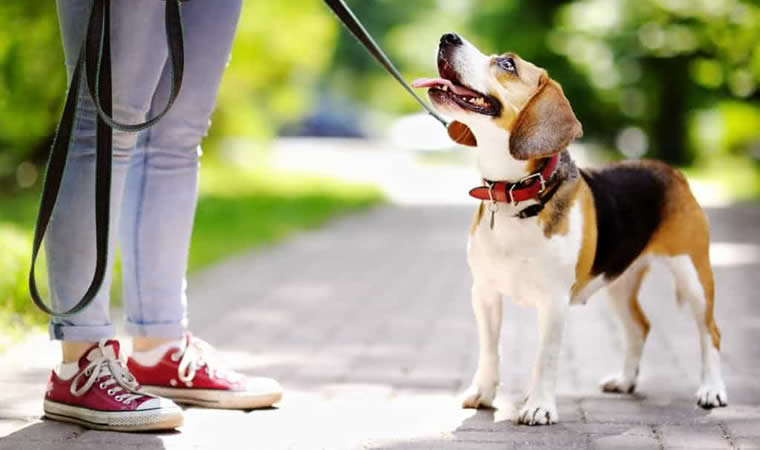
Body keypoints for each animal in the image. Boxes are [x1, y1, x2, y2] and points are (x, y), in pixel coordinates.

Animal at [412, 32, 728, 426]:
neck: (516, 196)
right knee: (639, 327)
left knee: (710, 332)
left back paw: (712, 390)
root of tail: (671, 170)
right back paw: (625, 380)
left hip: (694, 275)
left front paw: (538, 406)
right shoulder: (484, 293)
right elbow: (489, 349)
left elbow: (544, 357)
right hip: (619, 283)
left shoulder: (553, 301)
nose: (448, 37)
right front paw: (483, 393)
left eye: (507, 64)